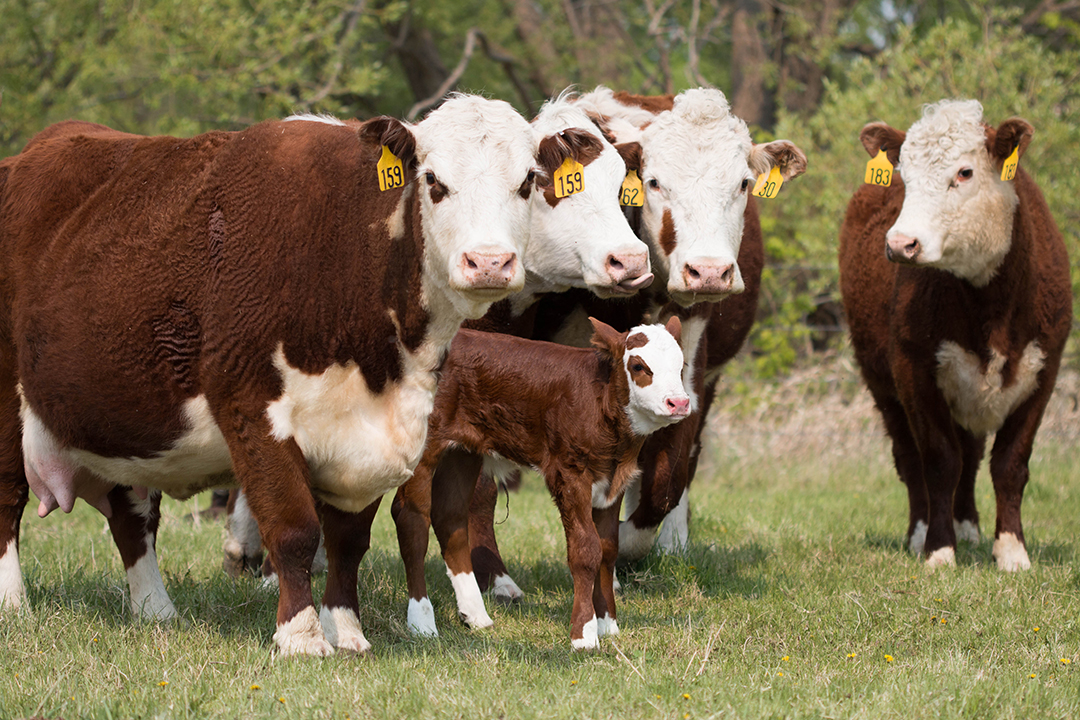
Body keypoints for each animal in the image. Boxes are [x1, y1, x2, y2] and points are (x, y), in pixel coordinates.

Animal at [0, 97, 540, 660]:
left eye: (528, 181)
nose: (489, 262)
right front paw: (301, 636)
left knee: (134, 516)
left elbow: (349, 539)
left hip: (124, 416)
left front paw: (347, 629)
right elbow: (295, 530)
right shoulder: (251, 407)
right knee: (7, 498)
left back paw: (156, 612)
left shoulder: (367, 436)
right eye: (433, 180)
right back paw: (14, 606)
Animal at [393, 317, 686, 651]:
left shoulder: (614, 483)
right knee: (411, 518)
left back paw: (476, 615)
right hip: (422, 446)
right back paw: (422, 622)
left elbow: (608, 550)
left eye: (680, 365)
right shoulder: (569, 474)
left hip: (463, 451)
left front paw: (608, 624)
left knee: (450, 517)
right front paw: (584, 635)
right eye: (638, 366)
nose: (679, 402)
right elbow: (586, 550)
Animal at [838, 98, 1067, 569]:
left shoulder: (1044, 370)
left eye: (965, 172)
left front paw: (1011, 551)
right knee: (911, 459)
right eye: (904, 174)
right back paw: (921, 532)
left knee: (973, 455)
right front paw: (939, 551)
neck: (993, 310)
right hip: (881, 384)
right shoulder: (915, 371)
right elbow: (940, 462)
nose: (900, 244)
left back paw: (969, 528)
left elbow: (1010, 464)